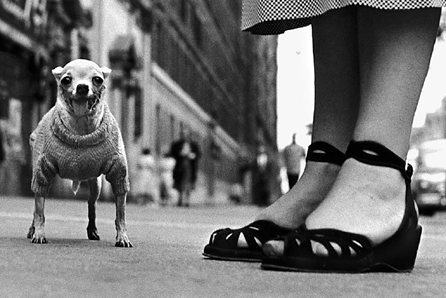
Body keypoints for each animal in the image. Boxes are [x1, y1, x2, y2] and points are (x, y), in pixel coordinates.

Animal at [27, 58, 132, 247]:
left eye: (97, 79)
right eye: (66, 80)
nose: (82, 87)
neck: (80, 127)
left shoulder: (119, 174)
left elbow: (120, 214)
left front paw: (122, 237)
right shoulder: (42, 173)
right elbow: (39, 211)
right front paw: (38, 233)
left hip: (95, 184)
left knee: (92, 204)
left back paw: (92, 230)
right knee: (37, 204)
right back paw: (32, 229)